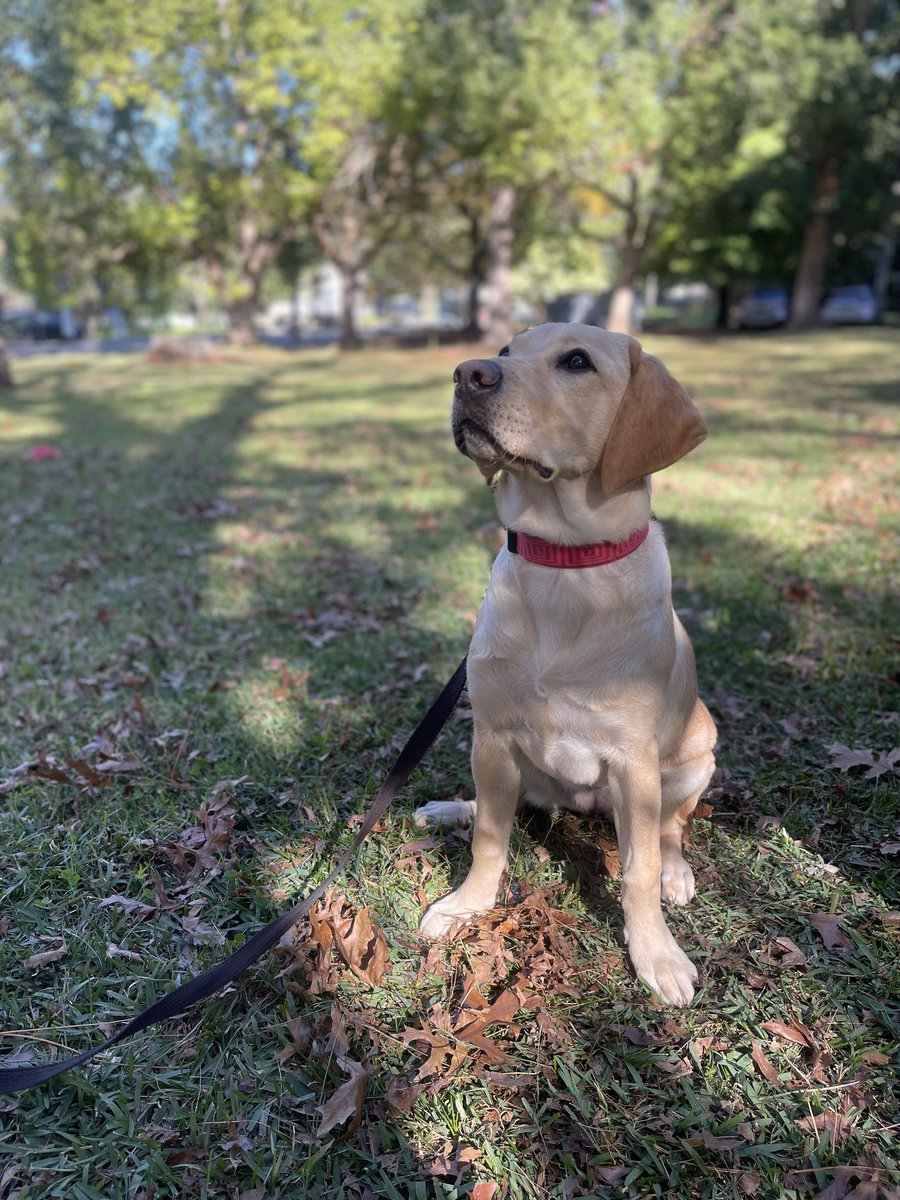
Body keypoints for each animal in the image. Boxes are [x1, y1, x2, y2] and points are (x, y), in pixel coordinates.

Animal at [415, 324, 720, 1008]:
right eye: (505, 352)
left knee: (670, 829)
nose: (468, 373)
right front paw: (467, 905)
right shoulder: (493, 736)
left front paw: (655, 953)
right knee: (501, 806)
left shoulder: (633, 761)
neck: (565, 564)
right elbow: (490, 840)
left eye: (577, 362)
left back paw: (677, 871)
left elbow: (637, 871)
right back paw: (451, 807)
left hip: (696, 756)